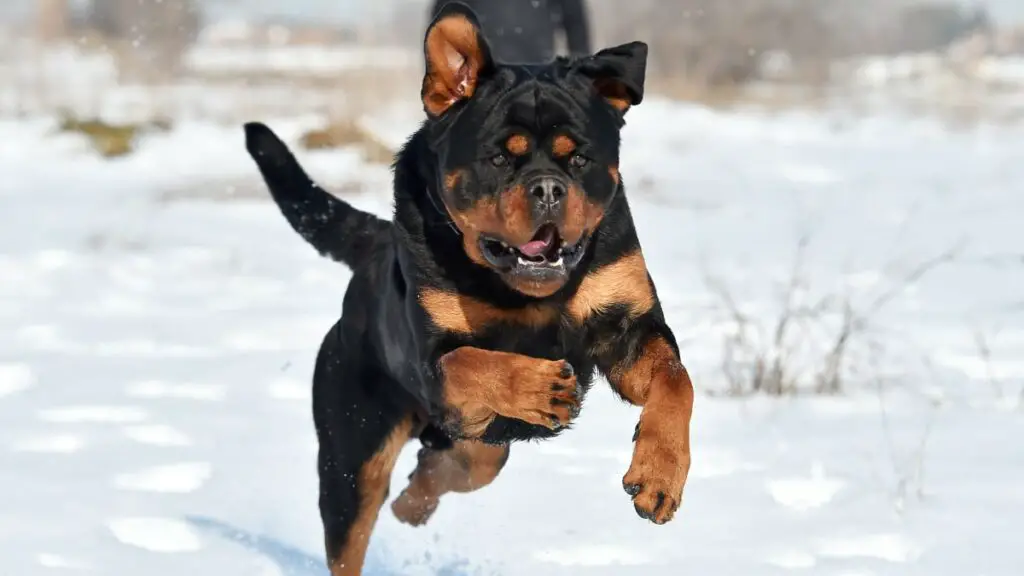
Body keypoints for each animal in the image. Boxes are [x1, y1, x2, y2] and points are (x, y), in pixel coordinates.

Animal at [242, 3, 696, 569]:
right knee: (360, 525)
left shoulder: (626, 324)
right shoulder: (434, 360)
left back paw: (414, 500)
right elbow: (471, 359)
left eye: (579, 158)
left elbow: (676, 381)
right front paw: (539, 386)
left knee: (463, 462)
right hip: (352, 455)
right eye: (499, 158)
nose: (549, 189)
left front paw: (660, 475)